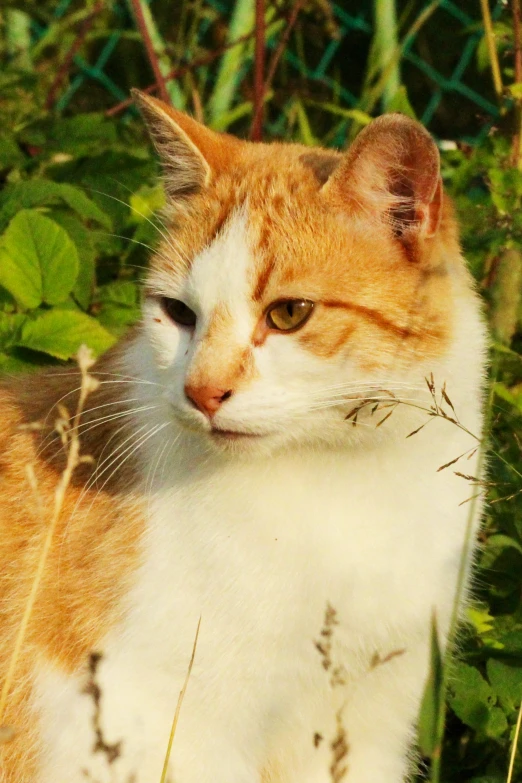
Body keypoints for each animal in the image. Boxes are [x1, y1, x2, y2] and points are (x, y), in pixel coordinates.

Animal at [1, 93, 488, 783]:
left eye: (289, 314)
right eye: (178, 313)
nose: (203, 392)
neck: (343, 479)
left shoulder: (368, 726)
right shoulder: (149, 726)